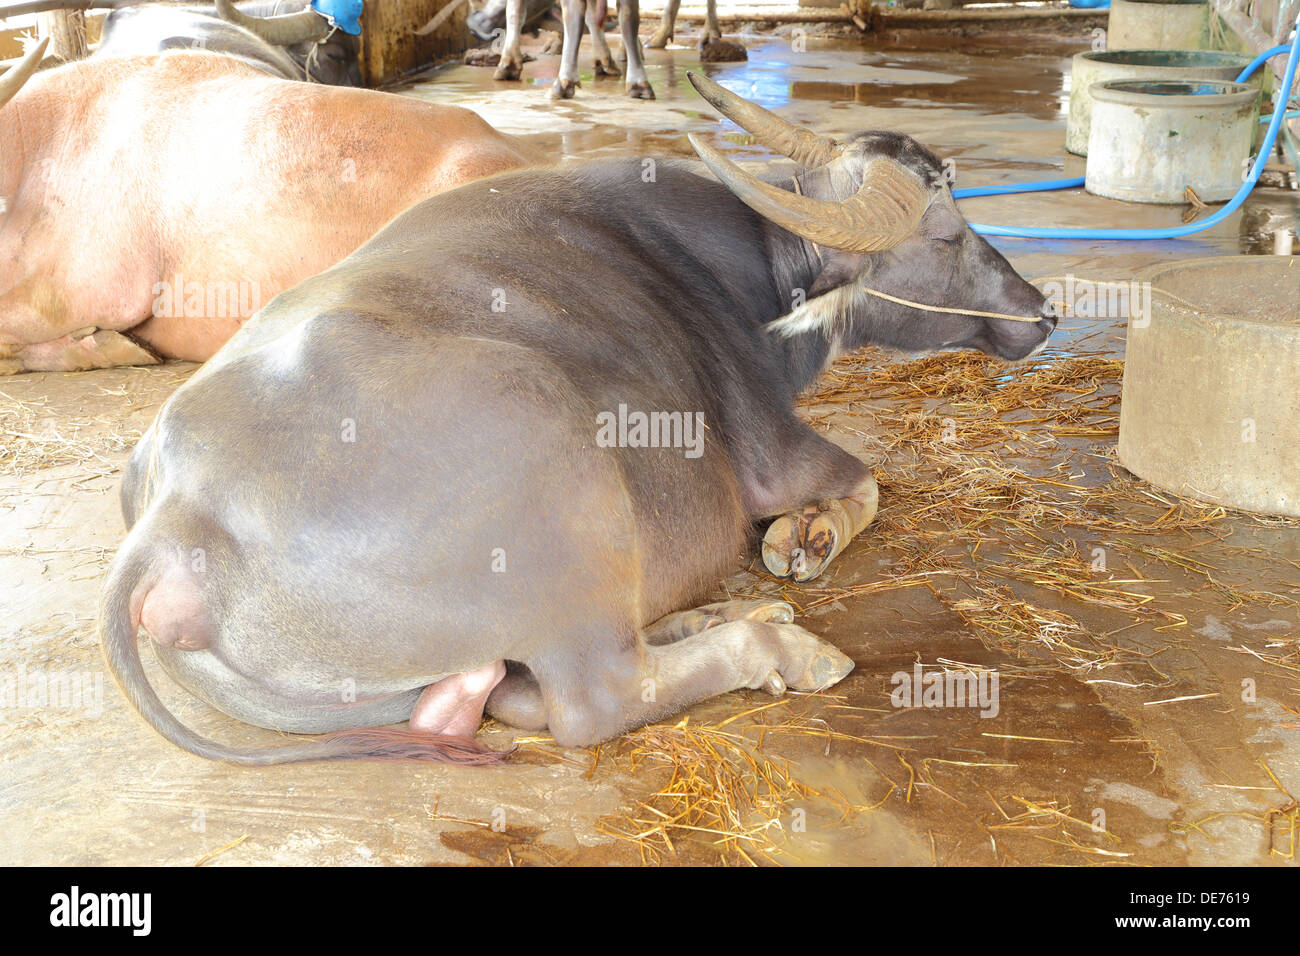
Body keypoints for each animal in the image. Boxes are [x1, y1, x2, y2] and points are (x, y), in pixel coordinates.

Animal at [101, 70, 1055, 764]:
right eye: (945, 232)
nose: (1042, 311)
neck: (754, 280)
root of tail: (173, 518)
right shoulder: (776, 449)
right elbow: (866, 484)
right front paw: (804, 539)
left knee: (513, 690)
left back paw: (714, 618)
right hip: (558, 459)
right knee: (593, 699)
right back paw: (780, 647)